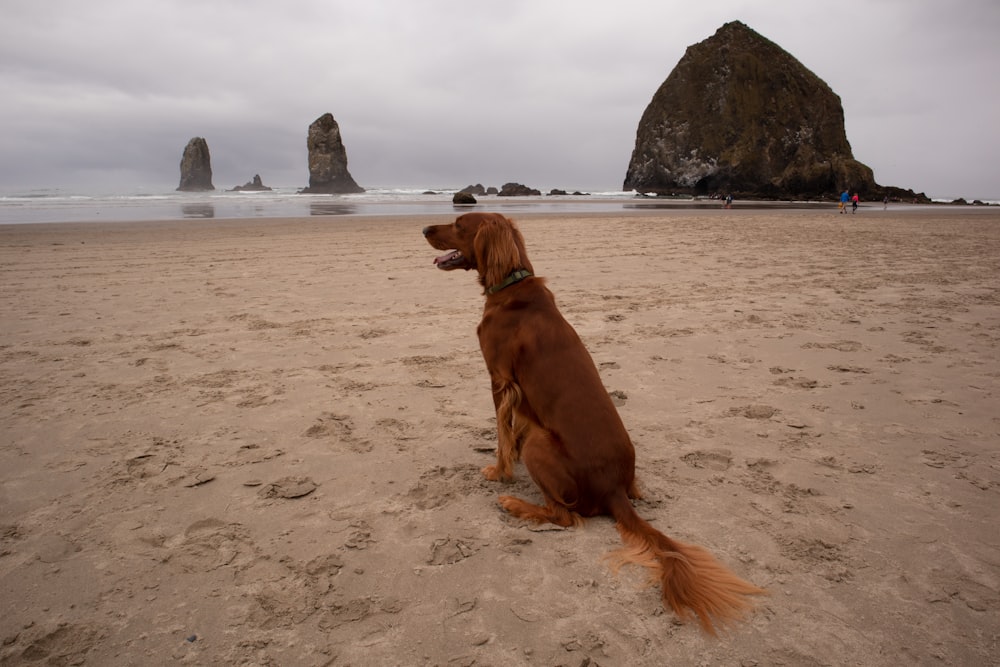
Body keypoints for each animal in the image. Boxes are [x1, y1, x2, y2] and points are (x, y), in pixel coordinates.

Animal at [424, 211, 764, 636]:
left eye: (459, 223)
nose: (424, 229)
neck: (512, 286)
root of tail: (615, 488)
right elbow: (511, 431)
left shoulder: (500, 379)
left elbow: (503, 434)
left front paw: (499, 471)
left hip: (542, 445)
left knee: (564, 516)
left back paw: (515, 504)